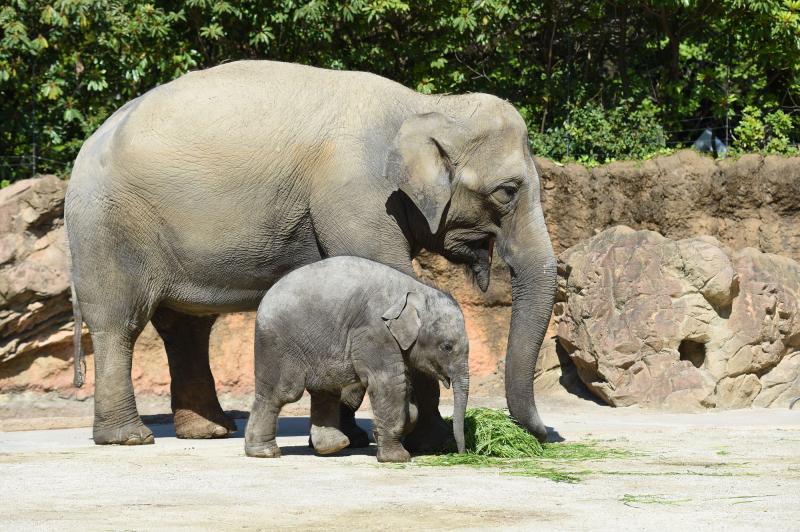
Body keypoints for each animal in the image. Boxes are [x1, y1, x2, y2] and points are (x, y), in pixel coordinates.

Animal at [244, 256, 468, 462]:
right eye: (447, 347)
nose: (462, 453)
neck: (414, 289)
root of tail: (265, 298)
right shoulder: (374, 332)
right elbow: (388, 383)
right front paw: (397, 458)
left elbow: (406, 392)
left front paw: (381, 436)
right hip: (278, 344)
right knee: (281, 393)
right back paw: (265, 453)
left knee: (325, 392)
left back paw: (334, 446)